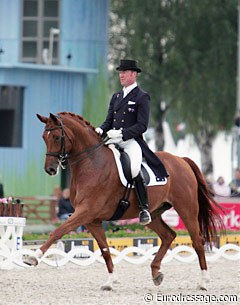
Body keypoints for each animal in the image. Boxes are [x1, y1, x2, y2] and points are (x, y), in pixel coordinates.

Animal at [29, 112, 224, 290]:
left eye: (56, 137)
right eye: (44, 138)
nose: (50, 169)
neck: (91, 164)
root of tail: (181, 160)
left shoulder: (85, 211)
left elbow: (58, 231)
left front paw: (33, 257)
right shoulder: (92, 220)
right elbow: (105, 250)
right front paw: (110, 281)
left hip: (187, 209)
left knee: (197, 241)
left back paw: (204, 282)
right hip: (153, 214)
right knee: (168, 235)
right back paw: (156, 273)